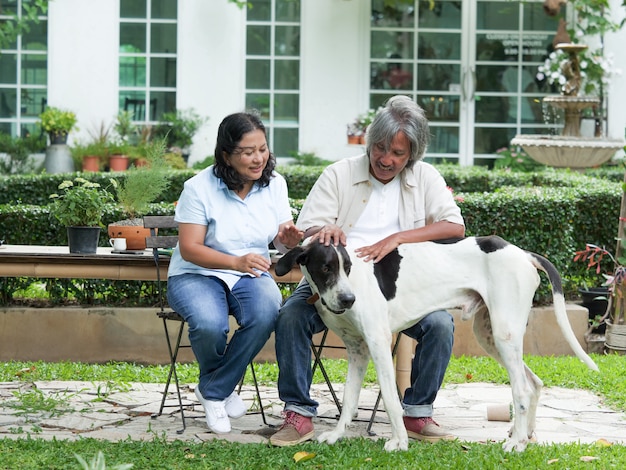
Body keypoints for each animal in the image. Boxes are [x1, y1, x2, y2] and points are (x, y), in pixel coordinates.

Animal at [276, 237, 596, 454]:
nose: (348, 299)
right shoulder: (357, 351)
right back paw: (525, 435)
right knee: (535, 382)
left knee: (522, 389)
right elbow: (349, 400)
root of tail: (523, 253)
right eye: (326, 268)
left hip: (504, 334)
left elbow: (390, 399)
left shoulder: (379, 345)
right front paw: (337, 435)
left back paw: (516, 443)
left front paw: (399, 441)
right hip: (490, 336)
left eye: (348, 268)